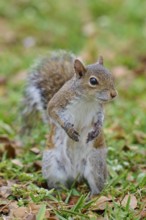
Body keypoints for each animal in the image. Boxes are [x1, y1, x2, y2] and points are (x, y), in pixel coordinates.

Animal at [21, 50, 117, 194]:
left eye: (110, 75)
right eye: (93, 81)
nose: (114, 94)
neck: (87, 99)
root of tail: (75, 173)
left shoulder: (98, 109)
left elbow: (100, 119)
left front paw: (97, 130)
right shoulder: (58, 103)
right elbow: (52, 112)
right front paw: (69, 129)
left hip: (95, 162)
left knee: (96, 182)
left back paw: (93, 195)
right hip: (52, 166)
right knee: (57, 183)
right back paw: (58, 193)